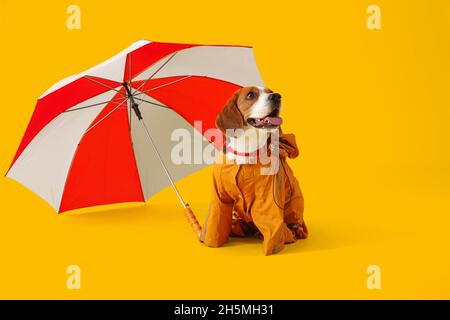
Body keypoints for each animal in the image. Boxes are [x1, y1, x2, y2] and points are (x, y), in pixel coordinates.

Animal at [202, 87, 308, 255]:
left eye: (270, 91)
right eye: (250, 95)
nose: (277, 96)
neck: (246, 150)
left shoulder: (268, 197)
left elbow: (271, 222)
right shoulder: (219, 195)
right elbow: (216, 218)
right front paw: (211, 243)